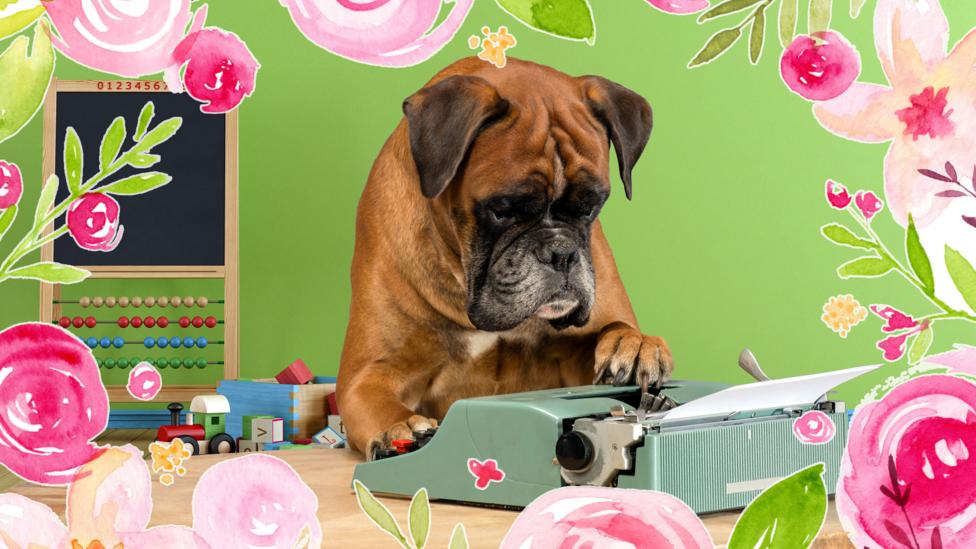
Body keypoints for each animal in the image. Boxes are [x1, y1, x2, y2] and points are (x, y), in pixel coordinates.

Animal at [336, 56, 672, 458]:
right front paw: (398, 427)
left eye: (590, 207)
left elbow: (612, 333)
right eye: (503, 210)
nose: (560, 252)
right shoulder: (367, 373)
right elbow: (376, 398)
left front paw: (635, 343)